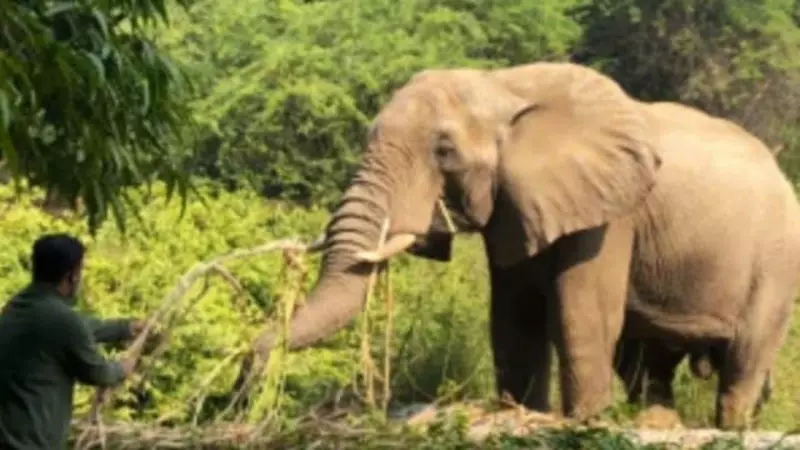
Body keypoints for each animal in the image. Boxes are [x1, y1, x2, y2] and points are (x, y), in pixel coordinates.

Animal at [242, 62, 800, 430]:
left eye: (444, 151)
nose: (245, 385)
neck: (502, 86)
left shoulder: (612, 213)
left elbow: (579, 315)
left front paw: (583, 426)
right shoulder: (515, 205)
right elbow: (514, 317)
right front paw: (525, 414)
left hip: (777, 262)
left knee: (742, 363)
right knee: (645, 366)